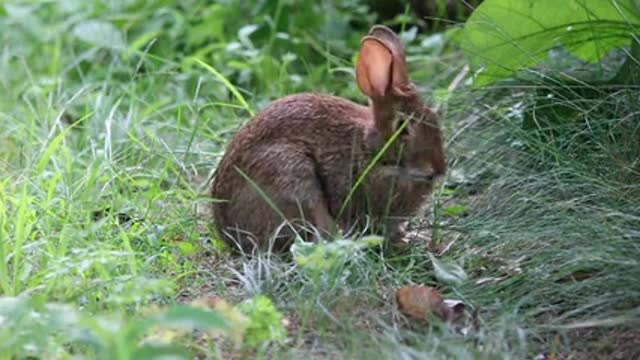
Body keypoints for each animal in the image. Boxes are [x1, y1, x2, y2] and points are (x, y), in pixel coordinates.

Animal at [210, 24, 444, 253]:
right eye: (403, 128)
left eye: (434, 118)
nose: (439, 168)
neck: (372, 150)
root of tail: (228, 234)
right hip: (293, 177)